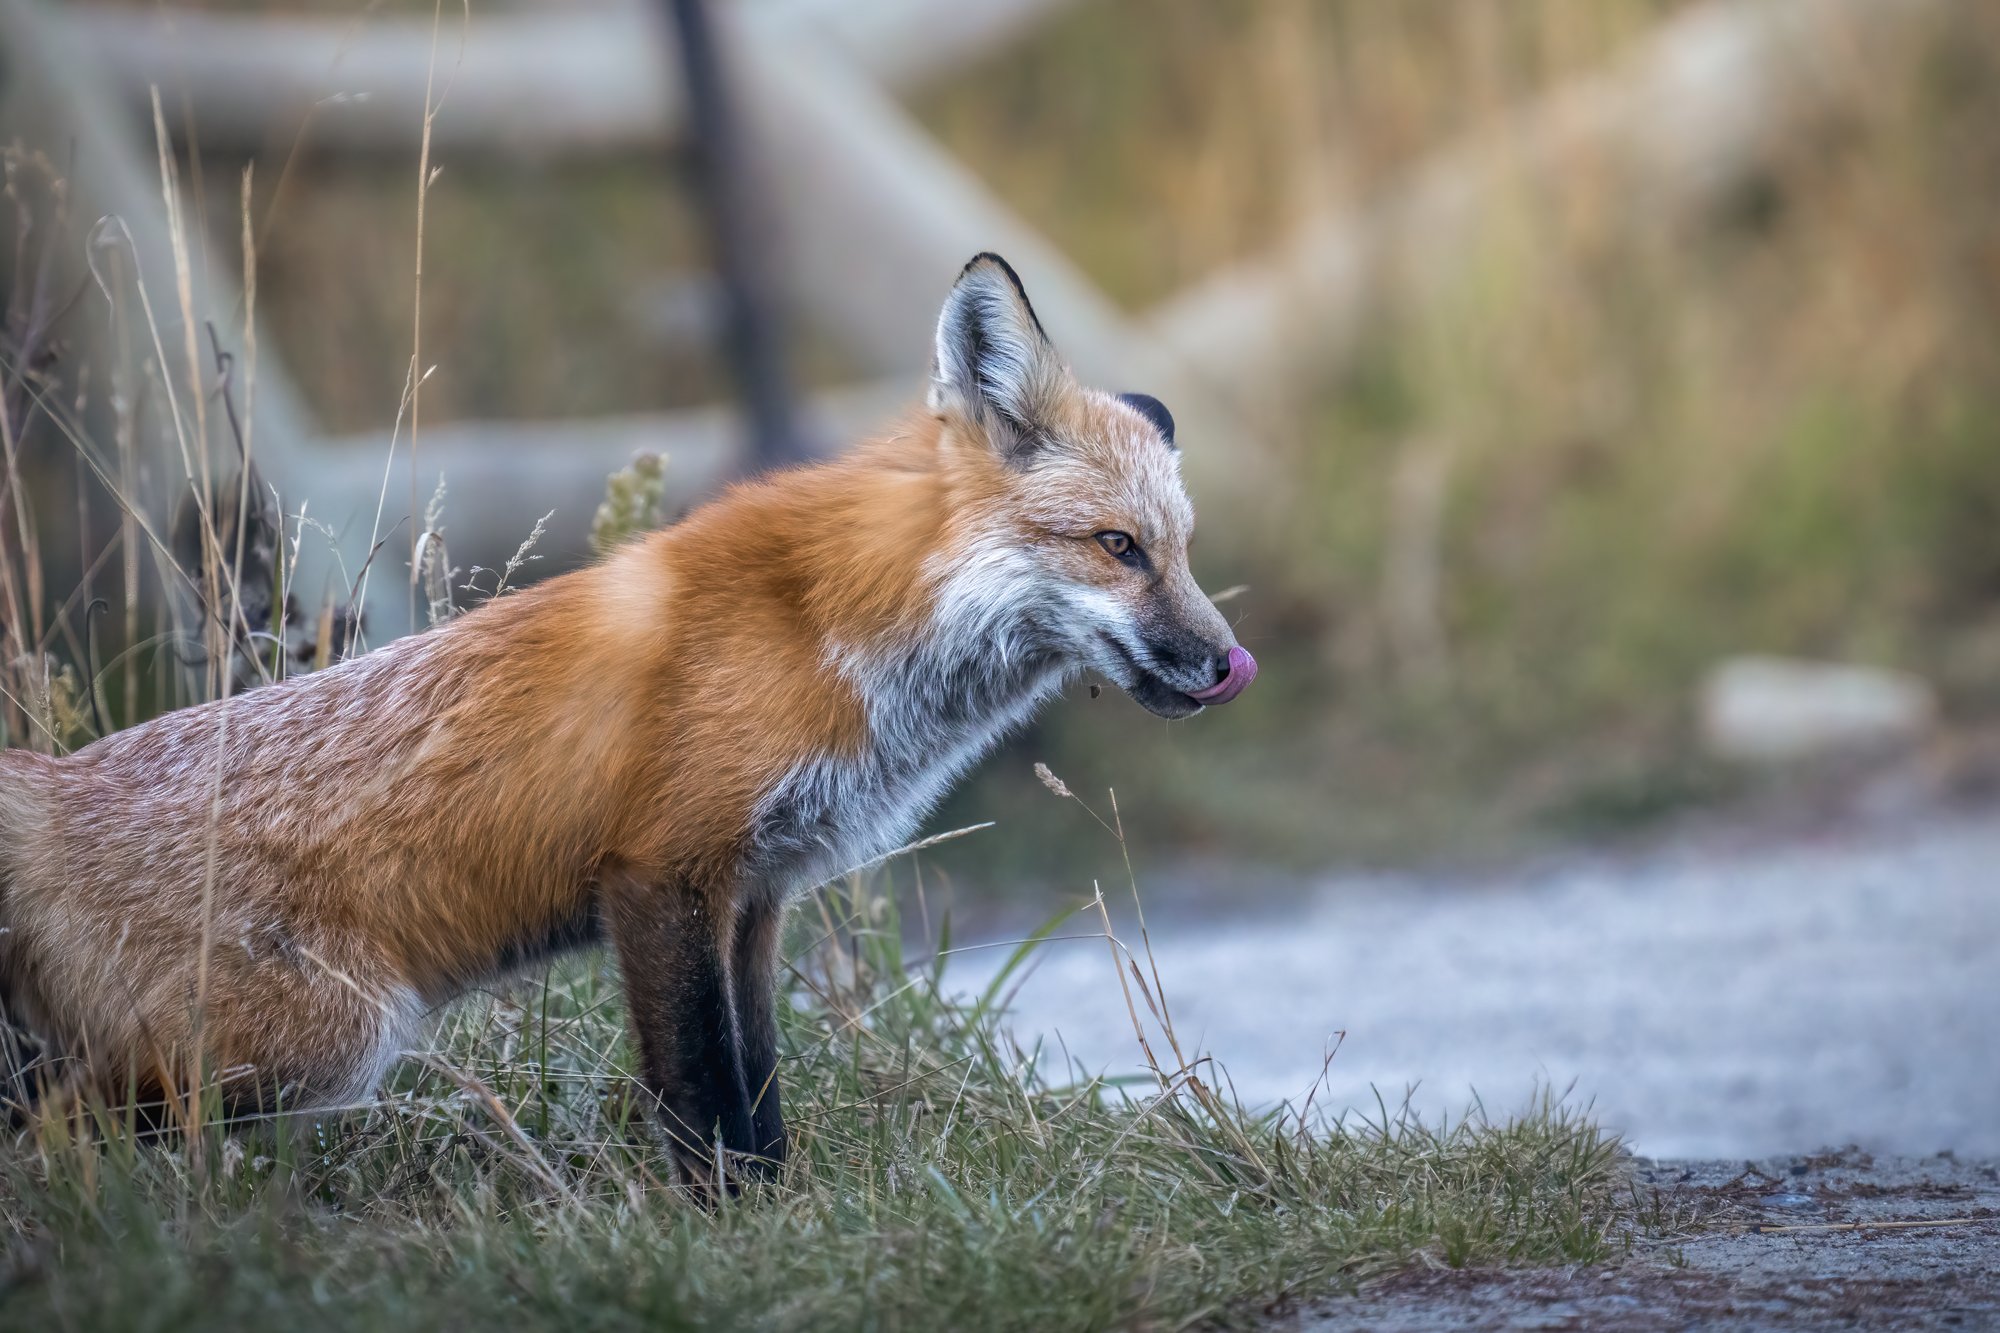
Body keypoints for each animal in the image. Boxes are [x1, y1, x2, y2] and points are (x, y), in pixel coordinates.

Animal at [0, 253, 1255, 1186]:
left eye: (1184, 550)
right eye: (1117, 546)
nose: (1223, 664)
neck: (831, 624)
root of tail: (47, 788)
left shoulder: (754, 895)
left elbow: (757, 1089)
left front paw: (782, 1208)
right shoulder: (660, 873)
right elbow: (702, 1096)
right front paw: (732, 1227)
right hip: (317, 1046)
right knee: (63, 1130)